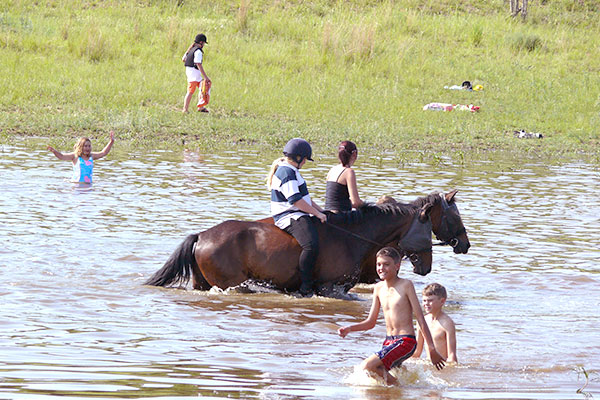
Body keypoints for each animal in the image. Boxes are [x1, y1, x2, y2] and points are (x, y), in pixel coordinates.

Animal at [145, 199, 436, 294]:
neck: (352, 236)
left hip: (203, 283)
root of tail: (202, 236)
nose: (427, 267)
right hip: (231, 284)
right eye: (427, 230)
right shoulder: (329, 288)